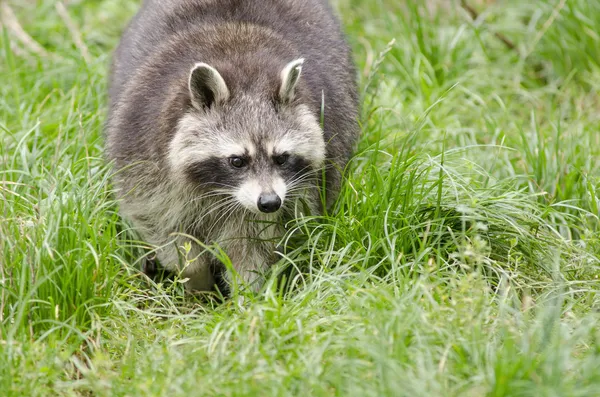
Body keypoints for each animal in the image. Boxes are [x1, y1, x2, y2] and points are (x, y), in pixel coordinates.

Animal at [105, 0, 358, 290]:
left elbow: (252, 246)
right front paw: (198, 282)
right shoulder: (144, 158)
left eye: (281, 158)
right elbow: (164, 228)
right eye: (237, 161)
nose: (269, 202)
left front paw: (247, 293)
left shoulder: (293, 196)